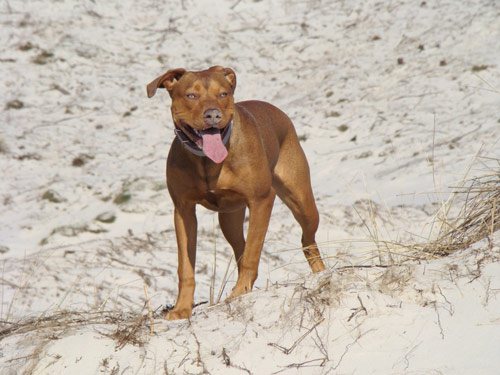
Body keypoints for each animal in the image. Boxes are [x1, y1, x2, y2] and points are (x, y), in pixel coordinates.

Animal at [146, 65, 326, 320]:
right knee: (240, 245)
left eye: (223, 94)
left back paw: (320, 273)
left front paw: (239, 293)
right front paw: (181, 309)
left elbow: (252, 255)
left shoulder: (261, 200)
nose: (213, 115)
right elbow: (185, 267)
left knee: (306, 240)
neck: (208, 162)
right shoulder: (183, 210)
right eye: (191, 95)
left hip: (302, 201)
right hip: (229, 219)